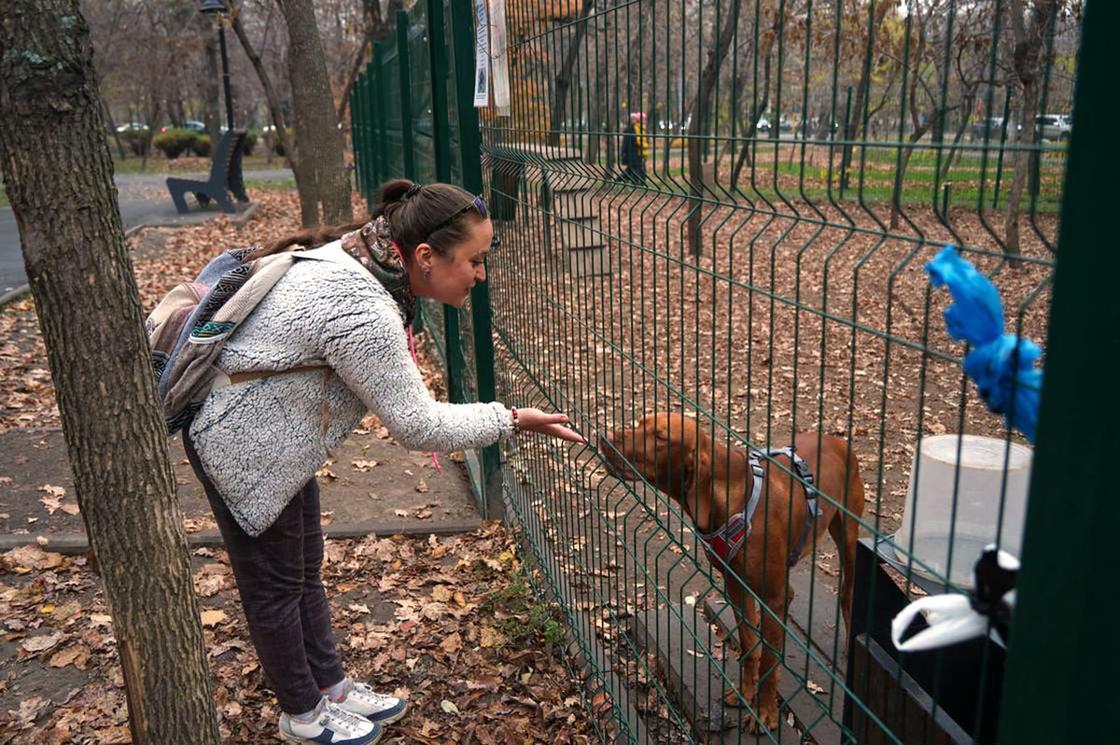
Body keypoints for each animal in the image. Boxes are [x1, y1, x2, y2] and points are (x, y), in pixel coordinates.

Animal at [609, 412, 860, 730]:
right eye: (641, 422)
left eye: (661, 436)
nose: (605, 437)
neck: (734, 500)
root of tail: (838, 441)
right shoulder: (736, 585)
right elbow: (749, 645)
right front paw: (744, 693)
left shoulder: (774, 598)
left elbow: (769, 661)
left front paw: (765, 712)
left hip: (849, 538)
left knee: (848, 594)